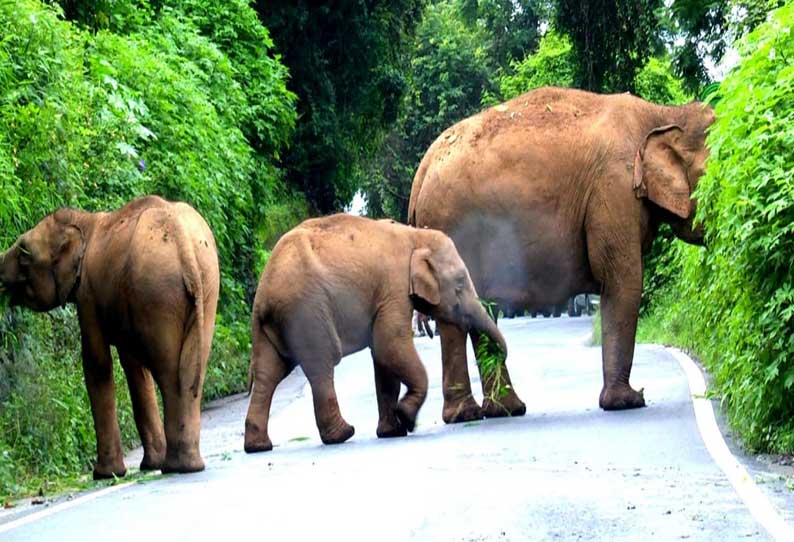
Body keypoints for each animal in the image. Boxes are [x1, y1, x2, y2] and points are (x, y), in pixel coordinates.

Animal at [0, 198, 220, 478]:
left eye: (23, 253)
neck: (84, 222)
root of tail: (184, 245)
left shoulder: (87, 294)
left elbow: (97, 364)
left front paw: (105, 474)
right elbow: (133, 367)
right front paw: (148, 465)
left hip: (157, 292)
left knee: (168, 373)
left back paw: (175, 467)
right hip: (203, 286)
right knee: (191, 372)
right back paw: (186, 466)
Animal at [241, 215, 504, 452]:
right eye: (459, 283)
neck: (415, 235)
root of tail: (263, 294)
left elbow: (383, 357)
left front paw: (392, 431)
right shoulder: (394, 288)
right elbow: (390, 345)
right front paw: (406, 418)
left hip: (271, 325)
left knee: (268, 373)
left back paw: (258, 446)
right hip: (306, 312)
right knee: (321, 365)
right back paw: (343, 434)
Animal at [408, 86, 712, 424]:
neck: (662, 113)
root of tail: (421, 173)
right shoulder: (614, 189)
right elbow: (623, 281)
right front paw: (628, 401)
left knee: (480, 311)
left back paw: (503, 410)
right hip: (453, 227)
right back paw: (468, 415)